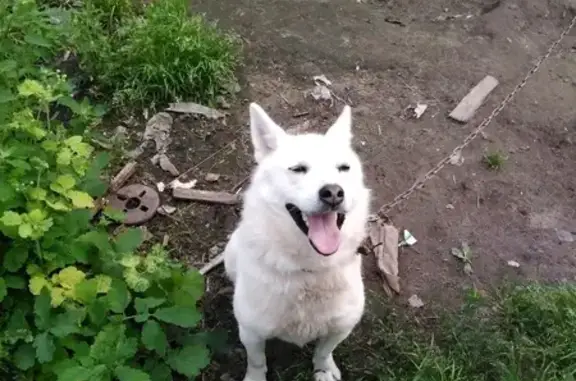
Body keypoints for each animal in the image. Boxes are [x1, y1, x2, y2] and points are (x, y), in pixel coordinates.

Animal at [223, 102, 372, 378]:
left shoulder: (341, 327)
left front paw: (324, 371)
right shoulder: (251, 332)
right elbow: (257, 361)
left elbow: (323, 352)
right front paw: (255, 378)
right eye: (298, 169)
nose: (333, 192)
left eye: (343, 168)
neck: (310, 269)